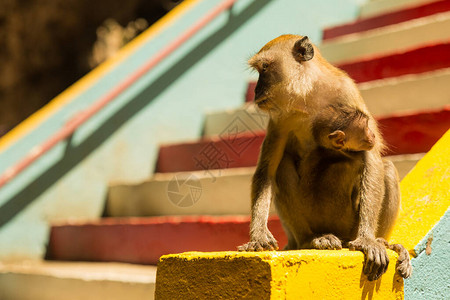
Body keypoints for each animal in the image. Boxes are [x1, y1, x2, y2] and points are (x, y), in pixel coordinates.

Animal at [239, 35, 412, 282]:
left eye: (265, 68)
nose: (256, 90)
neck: (309, 95)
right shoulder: (281, 117)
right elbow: (267, 170)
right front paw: (259, 235)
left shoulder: (348, 91)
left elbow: (372, 158)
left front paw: (368, 240)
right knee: (282, 168)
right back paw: (311, 240)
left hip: (348, 224)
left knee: (386, 168)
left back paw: (381, 241)